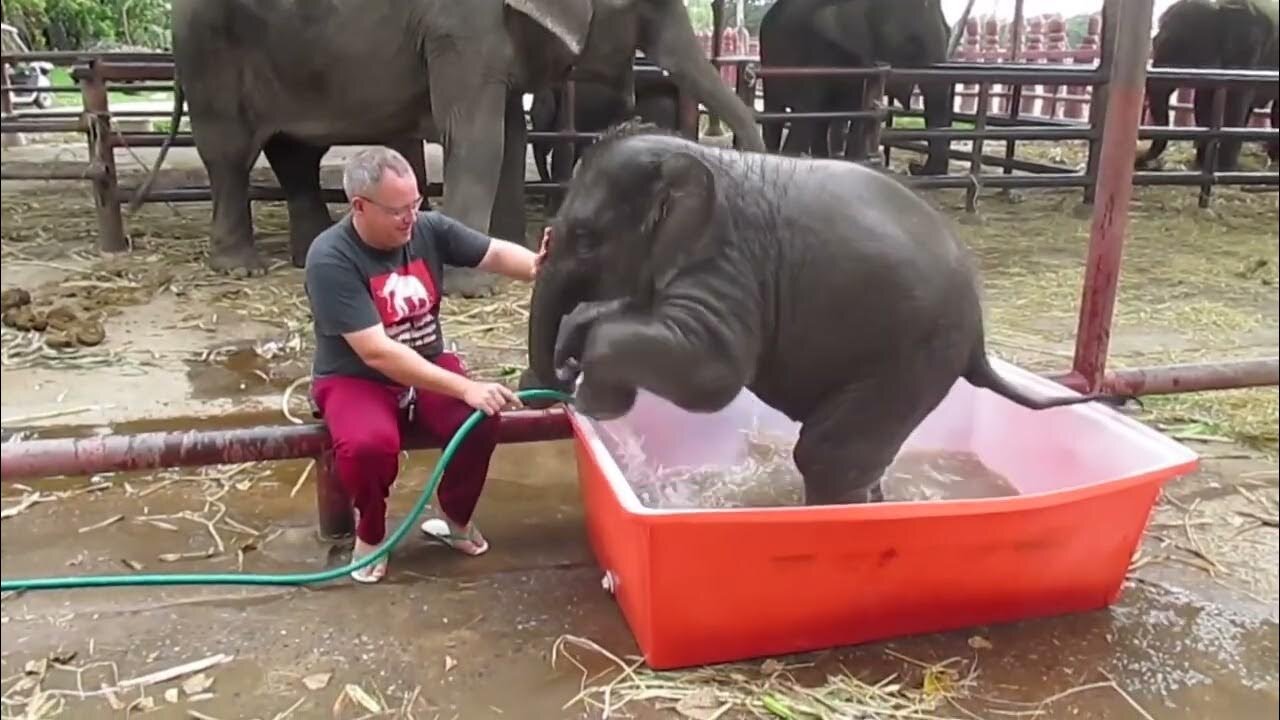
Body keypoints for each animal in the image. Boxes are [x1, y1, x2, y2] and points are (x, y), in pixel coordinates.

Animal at [757, 0, 952, 174]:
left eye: (949, 32)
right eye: (911, 43)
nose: (913, 167)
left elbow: (858, 114)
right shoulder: (820, 52)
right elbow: (810, 113)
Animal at [1136, 0, 1274, 170]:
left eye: (1181, 49)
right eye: (1154, 43)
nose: (1140, 160)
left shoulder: (1250, 51)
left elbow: (1236, 103)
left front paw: (1225, 170)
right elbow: (1203, 101)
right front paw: (1202, 165)